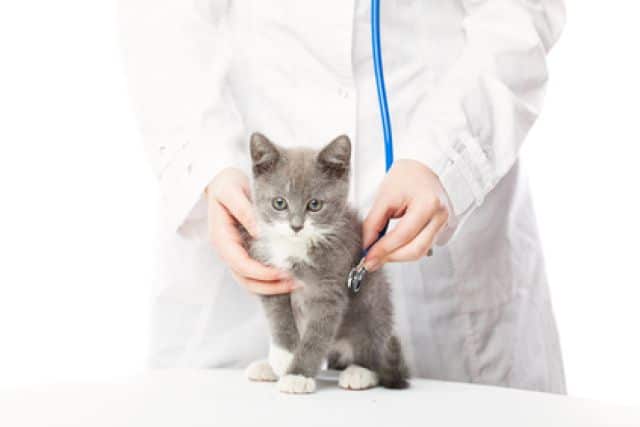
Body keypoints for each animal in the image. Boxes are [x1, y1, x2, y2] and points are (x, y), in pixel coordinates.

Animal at [242, 131, 408, 394]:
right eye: (279, 203)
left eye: (315, 205)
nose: (296, 226)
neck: (297, 247)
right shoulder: (270, 273)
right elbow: (278, 314)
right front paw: (284, 357)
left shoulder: (332, 286)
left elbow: (317, 334)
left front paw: (298, 375)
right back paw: (267, 367)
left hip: (374, 299)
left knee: (373, 343)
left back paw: (361, 372)